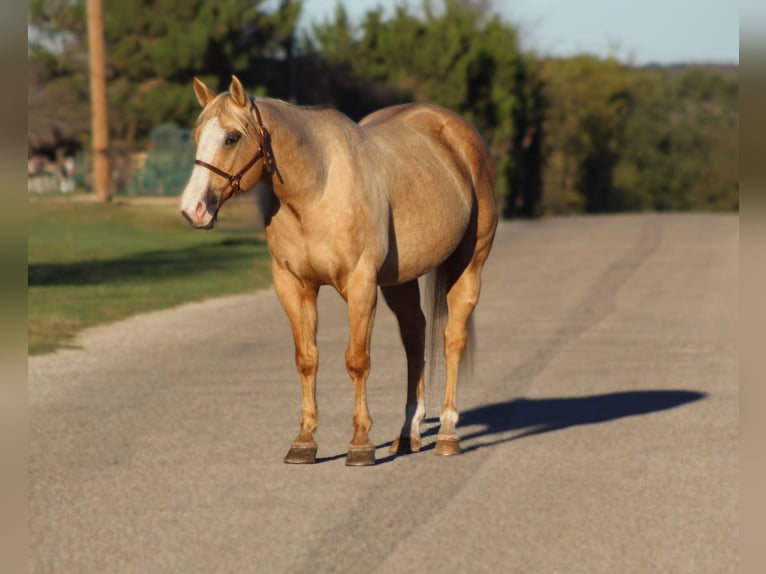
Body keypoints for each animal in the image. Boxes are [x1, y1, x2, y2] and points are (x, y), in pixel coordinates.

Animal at [180, 76, 498, 466]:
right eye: (197, 135)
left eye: (231, 138)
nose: (193, 209)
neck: (316, 188)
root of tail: (461, 135)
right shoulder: (293, 285)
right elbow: (306, 359)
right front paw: (304, 441)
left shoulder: (361, 285)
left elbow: (357, 361)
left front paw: (360, 443)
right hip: (401, 281)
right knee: (415, 338)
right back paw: (407, 433)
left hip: (468, 264)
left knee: (453, 339)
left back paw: (448, 434)